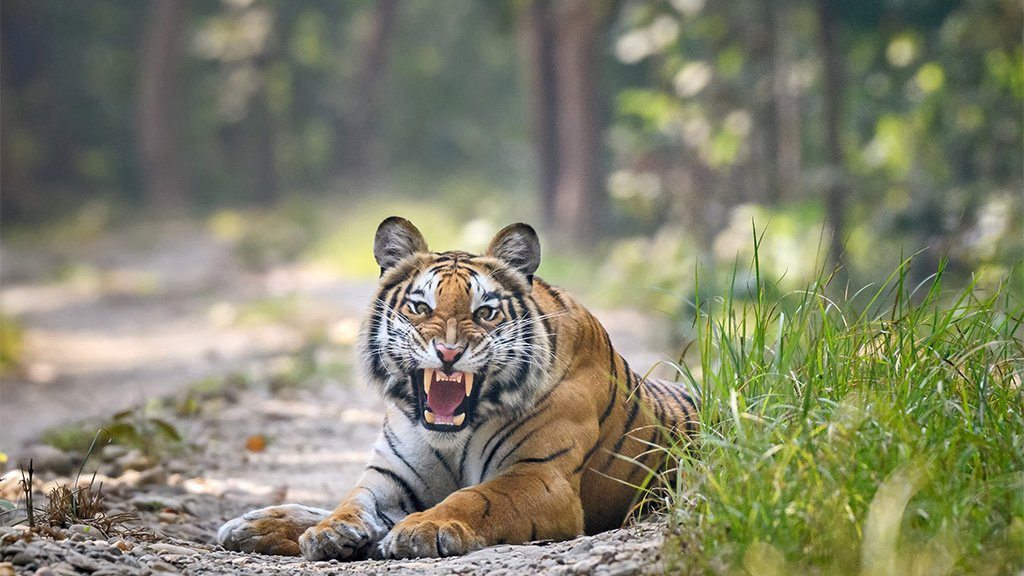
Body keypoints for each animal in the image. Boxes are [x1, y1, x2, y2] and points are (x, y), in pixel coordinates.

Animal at [217, 216, 700, 560]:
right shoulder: (392, 475)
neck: (452, 435)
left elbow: (475, 498)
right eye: (419, 307)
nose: (448, 352)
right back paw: (252, 525)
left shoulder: (539, 476)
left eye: (485, 313)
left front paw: (420, 529)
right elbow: (352, 500)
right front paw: (330, 532)